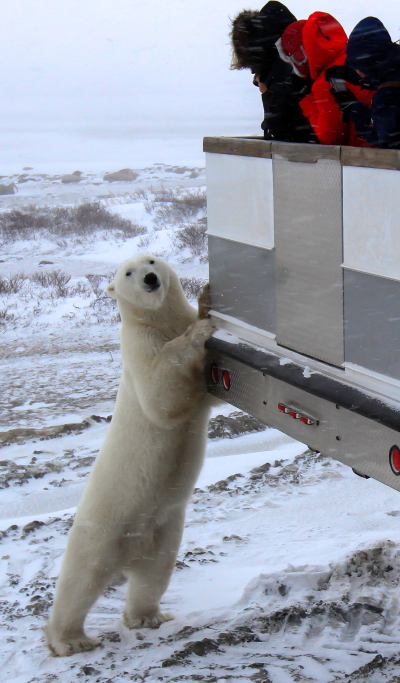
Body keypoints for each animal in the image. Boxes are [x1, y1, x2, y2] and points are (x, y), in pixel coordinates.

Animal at [45, 254, 214, 656]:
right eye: (127, 273)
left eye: (151, 260)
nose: (150, 279)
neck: (158, 320)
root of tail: (129, 552)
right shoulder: (138, 344)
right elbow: (161, 395)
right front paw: (199, 331)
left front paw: (205, 299)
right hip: (103, 528)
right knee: (80, 581)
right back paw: (70, 640)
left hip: (163, 532)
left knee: (153, 574)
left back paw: (148, 617)